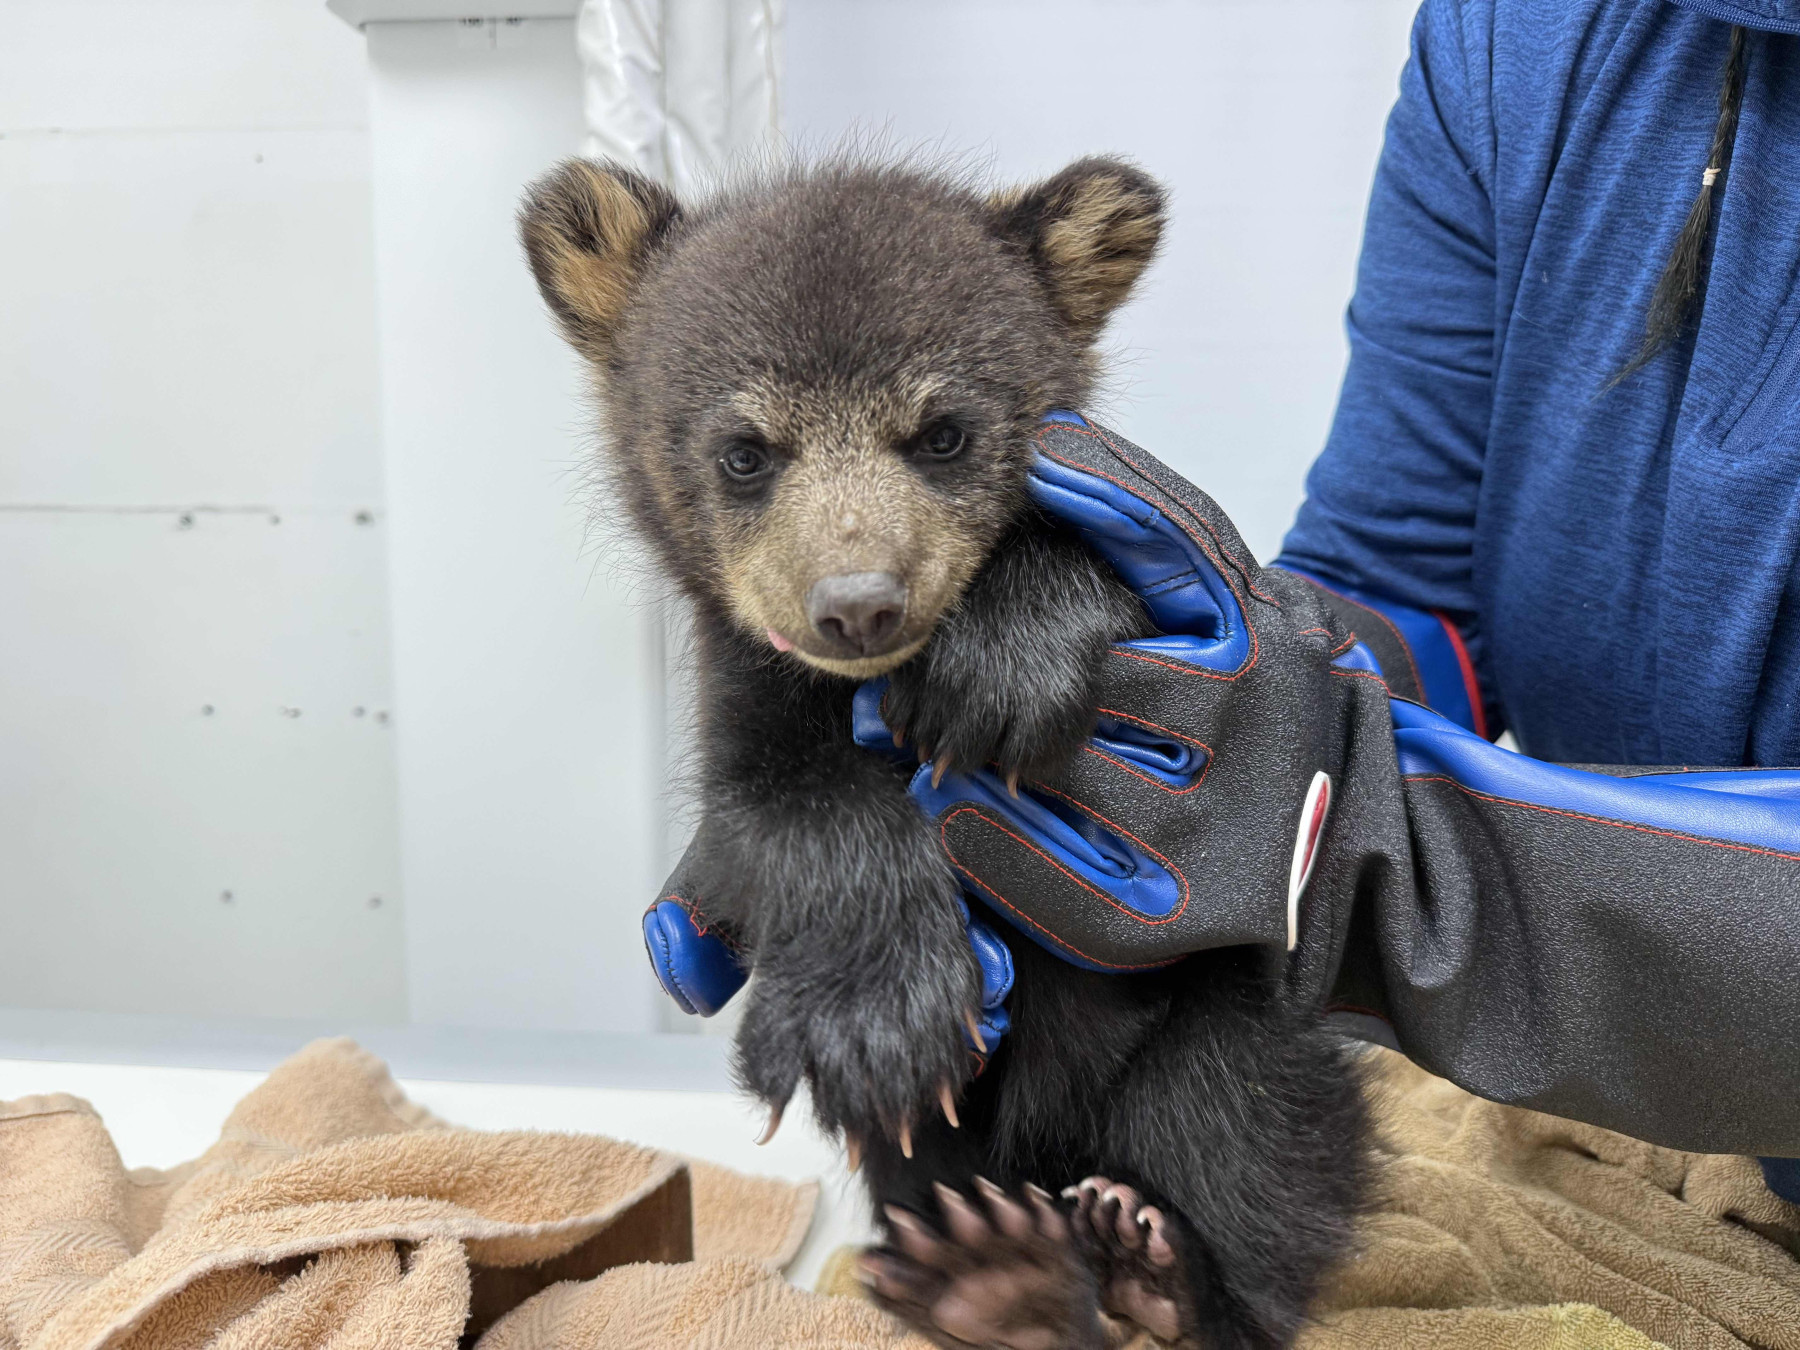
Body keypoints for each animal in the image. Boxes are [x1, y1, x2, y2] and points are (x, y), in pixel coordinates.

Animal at [518, 154, 1370, 1350]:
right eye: (744, 452)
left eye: (943, 434)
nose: (857, 605)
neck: (865, 689)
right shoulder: (746, 691)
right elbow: (776, 809)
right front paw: (875, 1022)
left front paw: (1005, 656)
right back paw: (993, 1274)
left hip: (1226, 1028)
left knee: (1240, 1122)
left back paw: (1148, 1280)